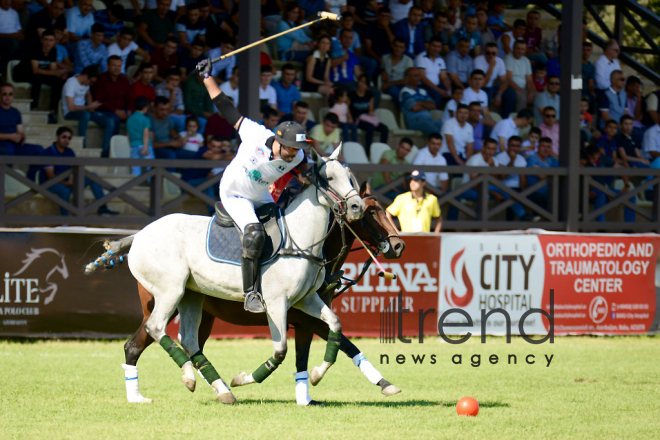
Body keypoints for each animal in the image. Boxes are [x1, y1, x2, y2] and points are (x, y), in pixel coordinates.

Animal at [88, 146, 364, 404]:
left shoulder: (306, 300)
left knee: (188, 339)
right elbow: (280, 351)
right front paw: (242, 378)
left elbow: (335, 325)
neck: (299, 240)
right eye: (329, 177)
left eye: (350, 176)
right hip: (170, 291)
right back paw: (184, 379)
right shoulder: (277, 303)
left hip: (191, 295)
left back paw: (219, 389)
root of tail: (139, 234)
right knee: (155, 328)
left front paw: (316, 374)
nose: (356, 207)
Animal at [121, 183, 404, 406]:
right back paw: (141, 395)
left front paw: (306, 395)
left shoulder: (305, 320)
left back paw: (213, 385)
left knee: (190, 343)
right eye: (370, 212)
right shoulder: (304, 319)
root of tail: (139, 236)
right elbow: (345, 344)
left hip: (200, 310)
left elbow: (311, 355)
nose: (399, 245)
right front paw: (383, 383)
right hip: (167, 298)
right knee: (136, 343)